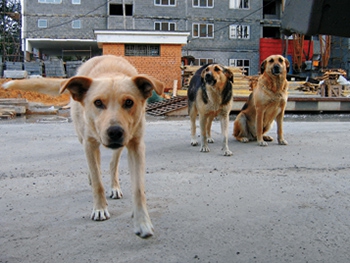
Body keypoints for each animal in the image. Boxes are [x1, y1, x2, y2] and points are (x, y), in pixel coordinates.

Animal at [2, 54, 164, 238]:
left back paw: (114, 186)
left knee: (111, 163)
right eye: (98, 103)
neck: (111, 73)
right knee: (95, 166)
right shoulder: (88, 143)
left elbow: (138, 189)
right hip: (84, 138)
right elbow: (97, 181)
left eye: (129, 102)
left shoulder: (136, 145)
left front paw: (142, 222)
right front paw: (100, 208)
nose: (115, 132)